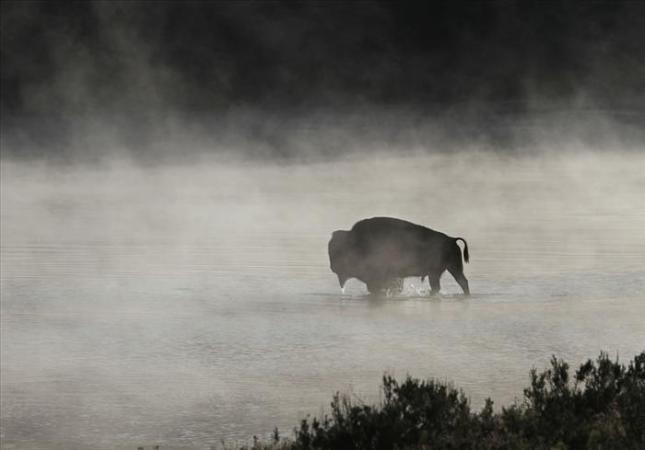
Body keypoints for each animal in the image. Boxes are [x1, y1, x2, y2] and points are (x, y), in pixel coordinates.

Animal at [328, 217, 470, 295]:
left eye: (336, 252)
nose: (333, 267)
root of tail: (451, 240)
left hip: (440, 272)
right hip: (450, 270)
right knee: (460, 282)